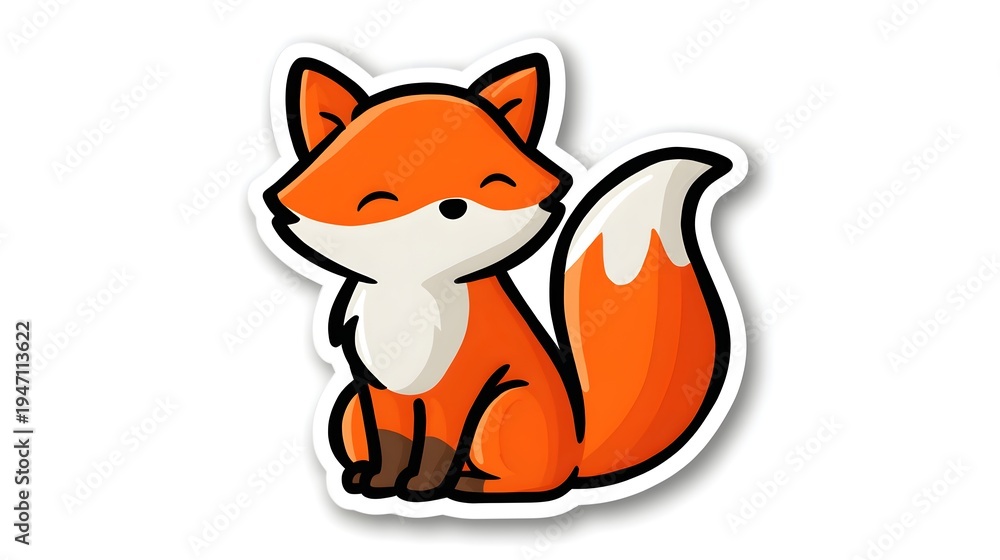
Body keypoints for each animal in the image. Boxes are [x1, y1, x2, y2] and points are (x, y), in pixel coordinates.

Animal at [250, 40, 747, 517]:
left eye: (494, 182)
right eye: (383, 195)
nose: (453, 206)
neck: (410, 294)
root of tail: (577, 447)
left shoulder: (457, 389)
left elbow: (437, 446)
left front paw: (422, 489)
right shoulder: (377, 387)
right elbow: (391, 443)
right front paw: (382, 483)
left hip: (502, 408)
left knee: (529, 483)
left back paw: (474, 488)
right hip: (350, 406)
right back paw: (363, 473)